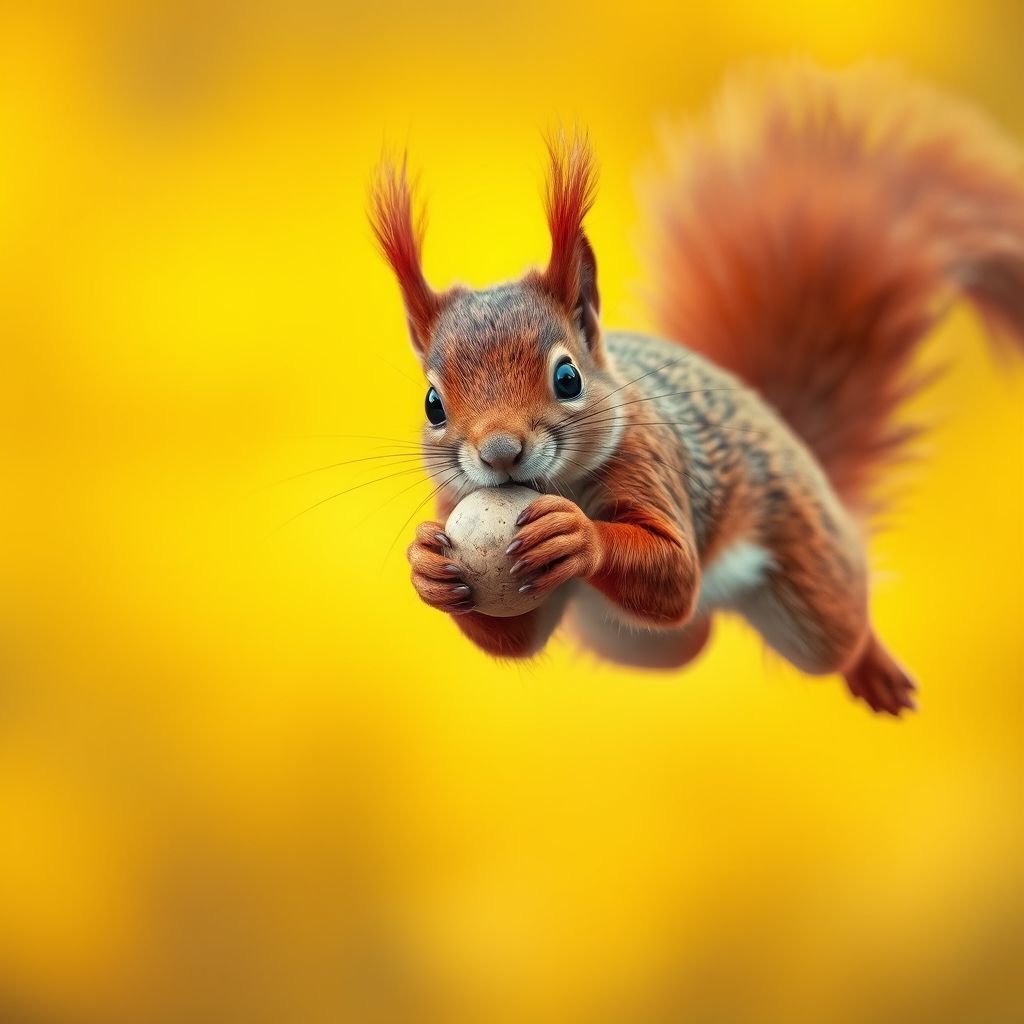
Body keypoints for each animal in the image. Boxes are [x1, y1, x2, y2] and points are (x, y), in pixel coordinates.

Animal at [369, 62, 1024, 716]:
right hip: (637, 642)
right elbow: (510, 638)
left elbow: (676, 571)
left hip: (809, 574)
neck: (559, 485)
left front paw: (576, 535)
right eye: (433, 405)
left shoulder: (650, 459)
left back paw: (873, 665)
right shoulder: (457, 507)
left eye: (567, 377)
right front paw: (427, 566)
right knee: (688, 635)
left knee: (835, 625)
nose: (500, 453)